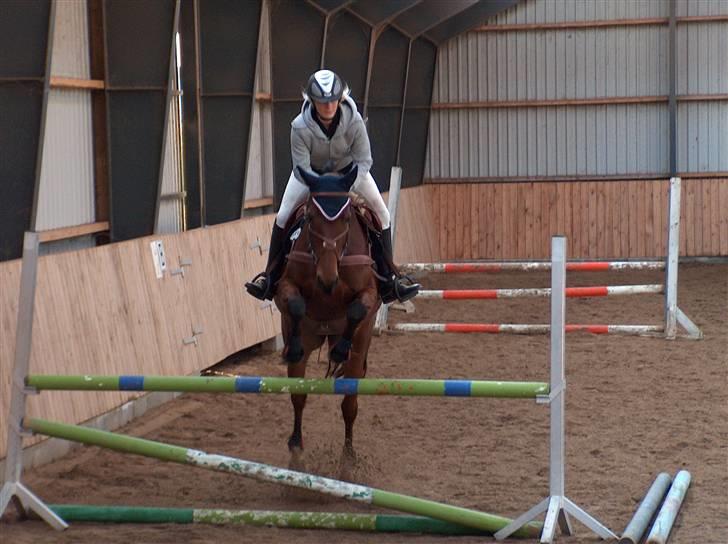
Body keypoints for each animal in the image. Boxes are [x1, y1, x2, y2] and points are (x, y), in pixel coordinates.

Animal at [274, 165, 382, 460]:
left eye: (346, 219)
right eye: (310, 218)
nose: (327, 278)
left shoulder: (369, 292)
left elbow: (357, 308)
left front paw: (340, 351)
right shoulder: (285, 286)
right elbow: (296, 304)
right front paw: (293, 346)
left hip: (359, 350)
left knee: (349, 403)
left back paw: (348, 453)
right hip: (308, 342)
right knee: (298, 395)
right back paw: (296, 442)